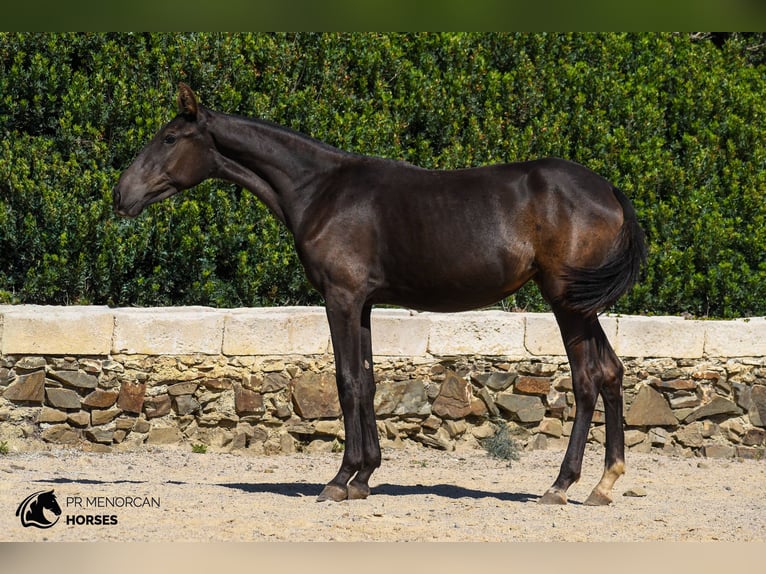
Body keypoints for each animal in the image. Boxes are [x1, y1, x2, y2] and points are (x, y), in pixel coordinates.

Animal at [115, 83, 648, 506]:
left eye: (169, 138)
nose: (121, 195)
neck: (319, 190)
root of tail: (610, 191)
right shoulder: (364, 303)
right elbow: (368, 381)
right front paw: (364, 476)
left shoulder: (341, 297)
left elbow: (348, 382)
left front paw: (339, 479)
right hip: (582, 306)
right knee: (611, 372)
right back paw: (604, 484)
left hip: (567, 303)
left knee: (587, 379)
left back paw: (561, 485)